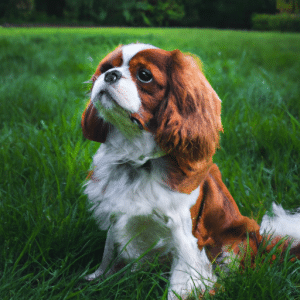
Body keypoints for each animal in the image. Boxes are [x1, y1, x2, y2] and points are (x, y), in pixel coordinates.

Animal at [81, 43, 300, 298]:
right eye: (106, 67)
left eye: (144, 75)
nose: (110, 75)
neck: (137, 159)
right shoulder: (116, 213)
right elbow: (108, 252)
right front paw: (98, 279)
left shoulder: (185, 236)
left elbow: (179, 282)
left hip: (238, 240)